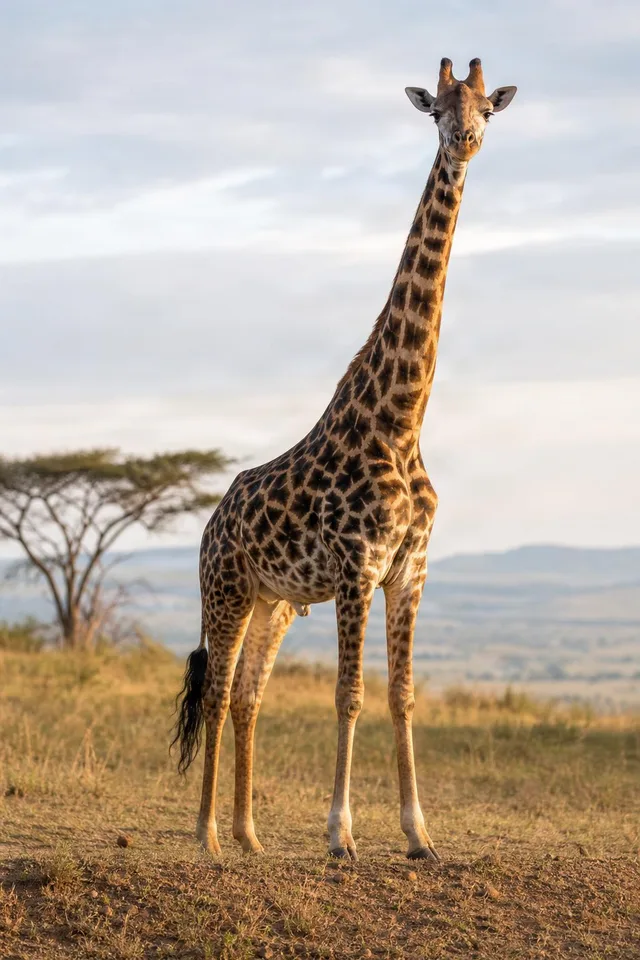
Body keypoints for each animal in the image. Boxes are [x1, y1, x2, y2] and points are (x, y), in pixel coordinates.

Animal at [173, 57, 517, 861]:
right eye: (436, 111)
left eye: (487, 108)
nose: (466, 141)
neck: (401, 420)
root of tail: (210, 523)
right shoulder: (359, 567)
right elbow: (349, 694)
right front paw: (340, 835)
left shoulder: (409, 569)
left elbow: (402, 694)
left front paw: (419, 834)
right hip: (224, 590)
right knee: (216, 689)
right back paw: (206, 836)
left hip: (273, 601)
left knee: (247, 694)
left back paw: (248, 835)